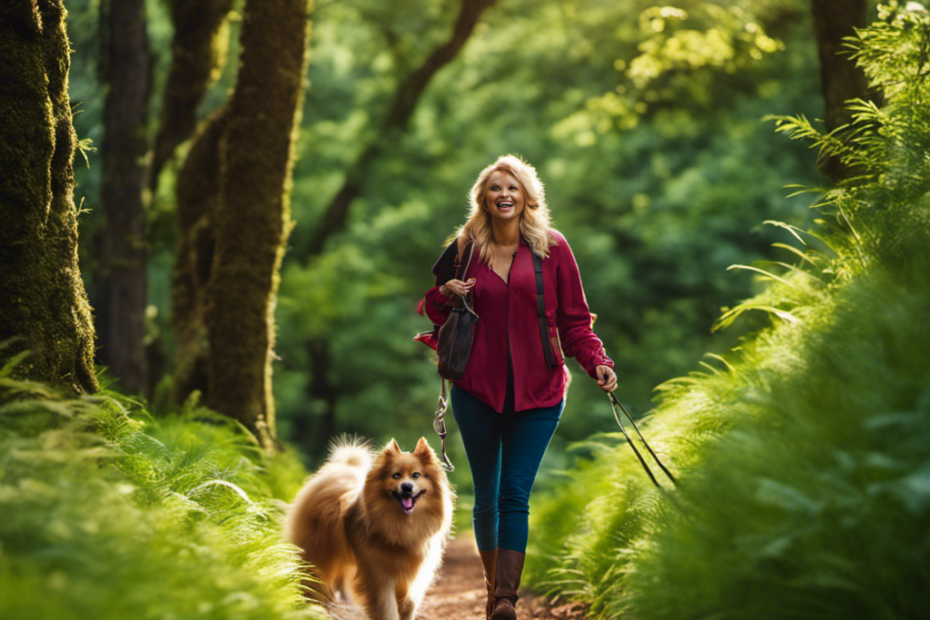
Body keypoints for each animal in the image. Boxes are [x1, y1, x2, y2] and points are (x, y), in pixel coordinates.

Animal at [284, 436, 454, 620]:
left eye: (416, 475)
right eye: (396, 475)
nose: (407, 487)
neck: (402, 526)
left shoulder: (413, 574)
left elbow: (409, 604)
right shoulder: (379, 576)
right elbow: (387, 609)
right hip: (316, 554)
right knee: (311, 581)